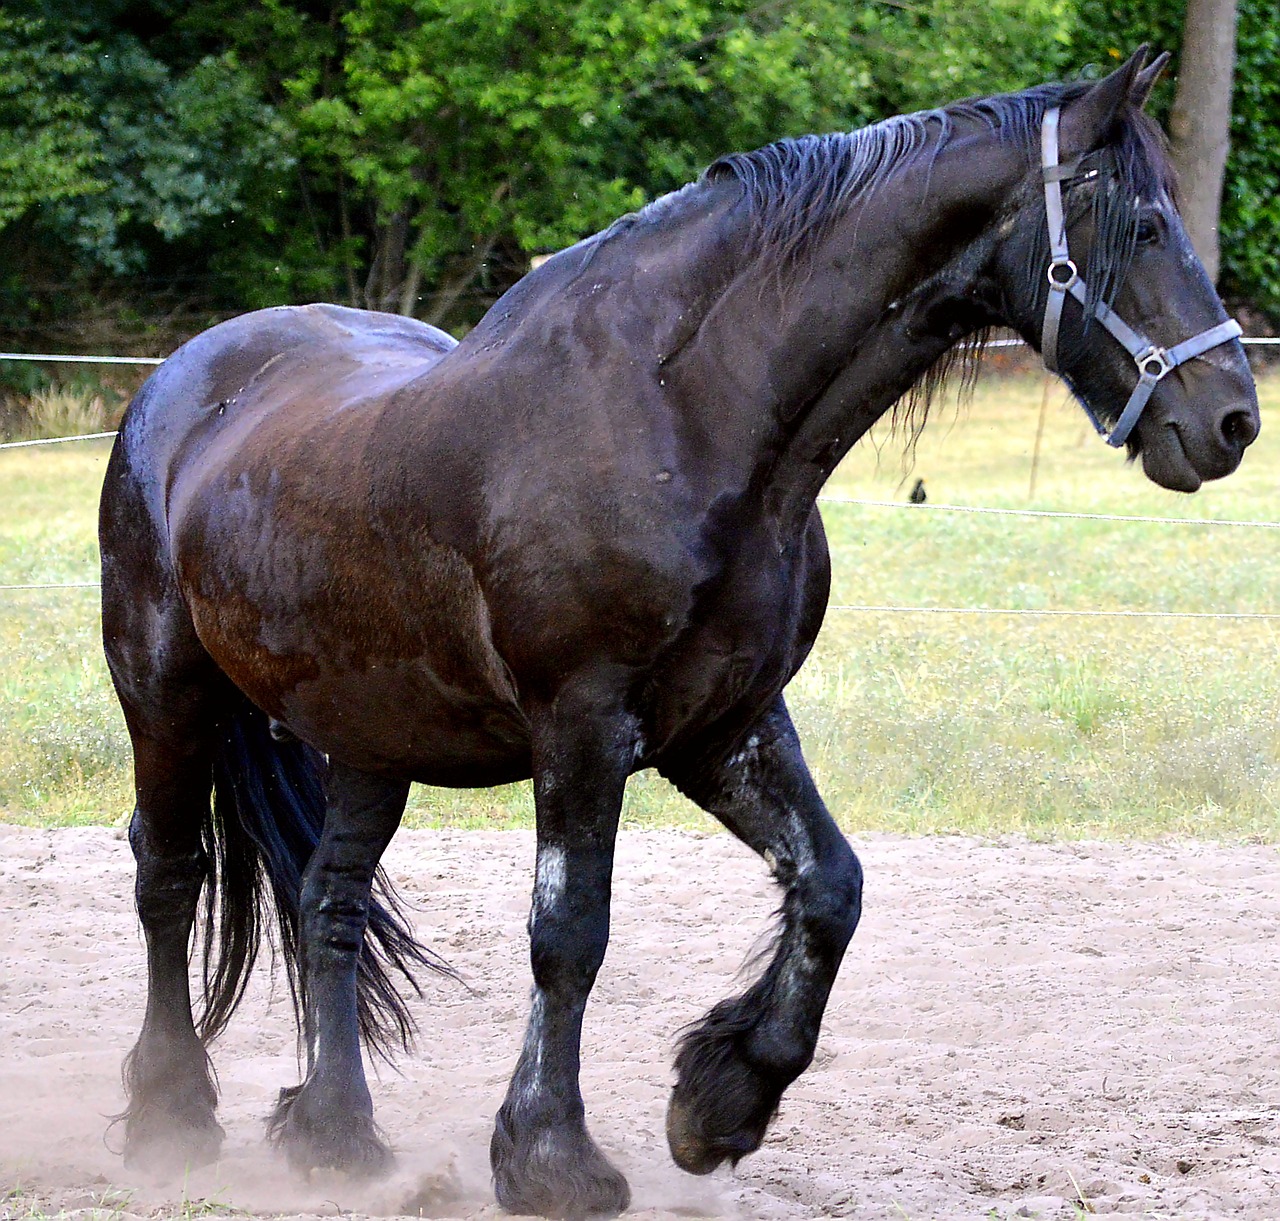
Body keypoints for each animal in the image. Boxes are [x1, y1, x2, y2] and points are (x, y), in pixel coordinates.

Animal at [102, 52, 1259, 1213]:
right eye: (1144, 227)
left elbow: (830, 886)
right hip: (166, 693)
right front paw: (551, 1157)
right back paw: (169, 1116)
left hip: (368, 736)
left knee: (326, 902)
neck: (683, 416)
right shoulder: (582, 725)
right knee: (168, 875)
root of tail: (183, 378)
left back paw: (338, 1136)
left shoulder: (725, 724)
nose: (1232, 421)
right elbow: (569, 934)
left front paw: (719, 1102)